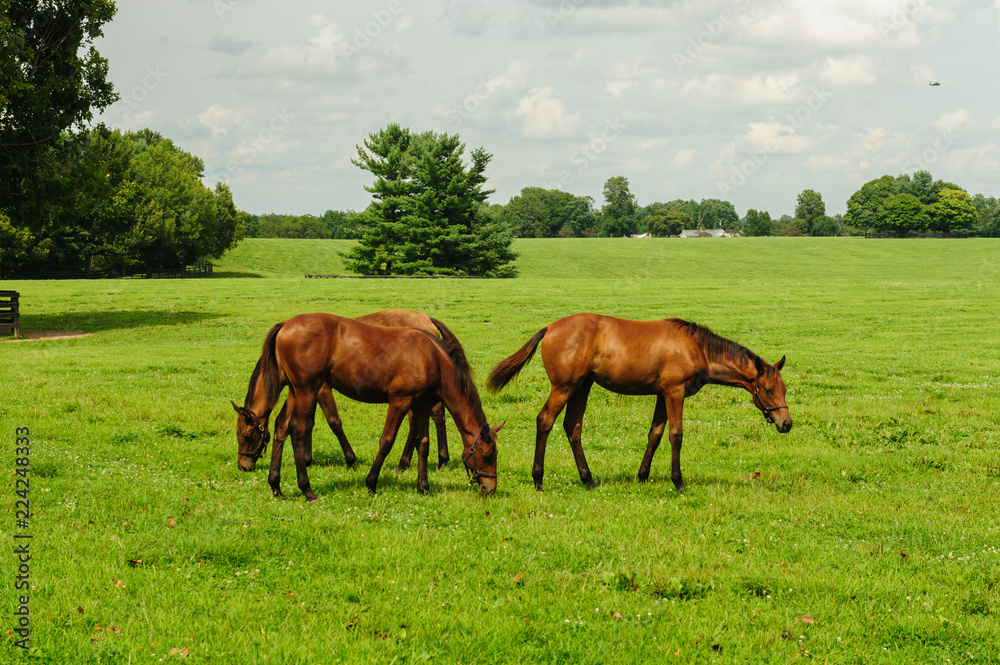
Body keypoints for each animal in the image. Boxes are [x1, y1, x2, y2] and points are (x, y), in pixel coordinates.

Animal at [233, 312, 500, 498]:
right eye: (487, 455)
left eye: (494, 455)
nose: (490, 488)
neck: (431, 357)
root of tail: (285, 325)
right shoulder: (399, 401)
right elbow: (386, 441)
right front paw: (371, 483)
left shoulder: (421, 406)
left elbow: (423, 444)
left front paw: (423, 486)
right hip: (306, 390)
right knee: (297, 429)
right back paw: (307, 490)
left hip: (296, 391)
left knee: (282, 426)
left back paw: (276, 486)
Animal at [488, 312, 792, 492]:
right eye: (767, 389)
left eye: (785, 389)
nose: (786, 423)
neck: (696, 348)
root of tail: (550, 327)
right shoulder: (674, 392)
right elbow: (675, 434)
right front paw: (678, 482)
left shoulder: (661, 395)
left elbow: (655, 434)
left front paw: (643, 476)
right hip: (564, 387)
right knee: (545, 421)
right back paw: (538, 480)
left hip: (582, 387)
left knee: (573, 426)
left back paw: (588, 479)